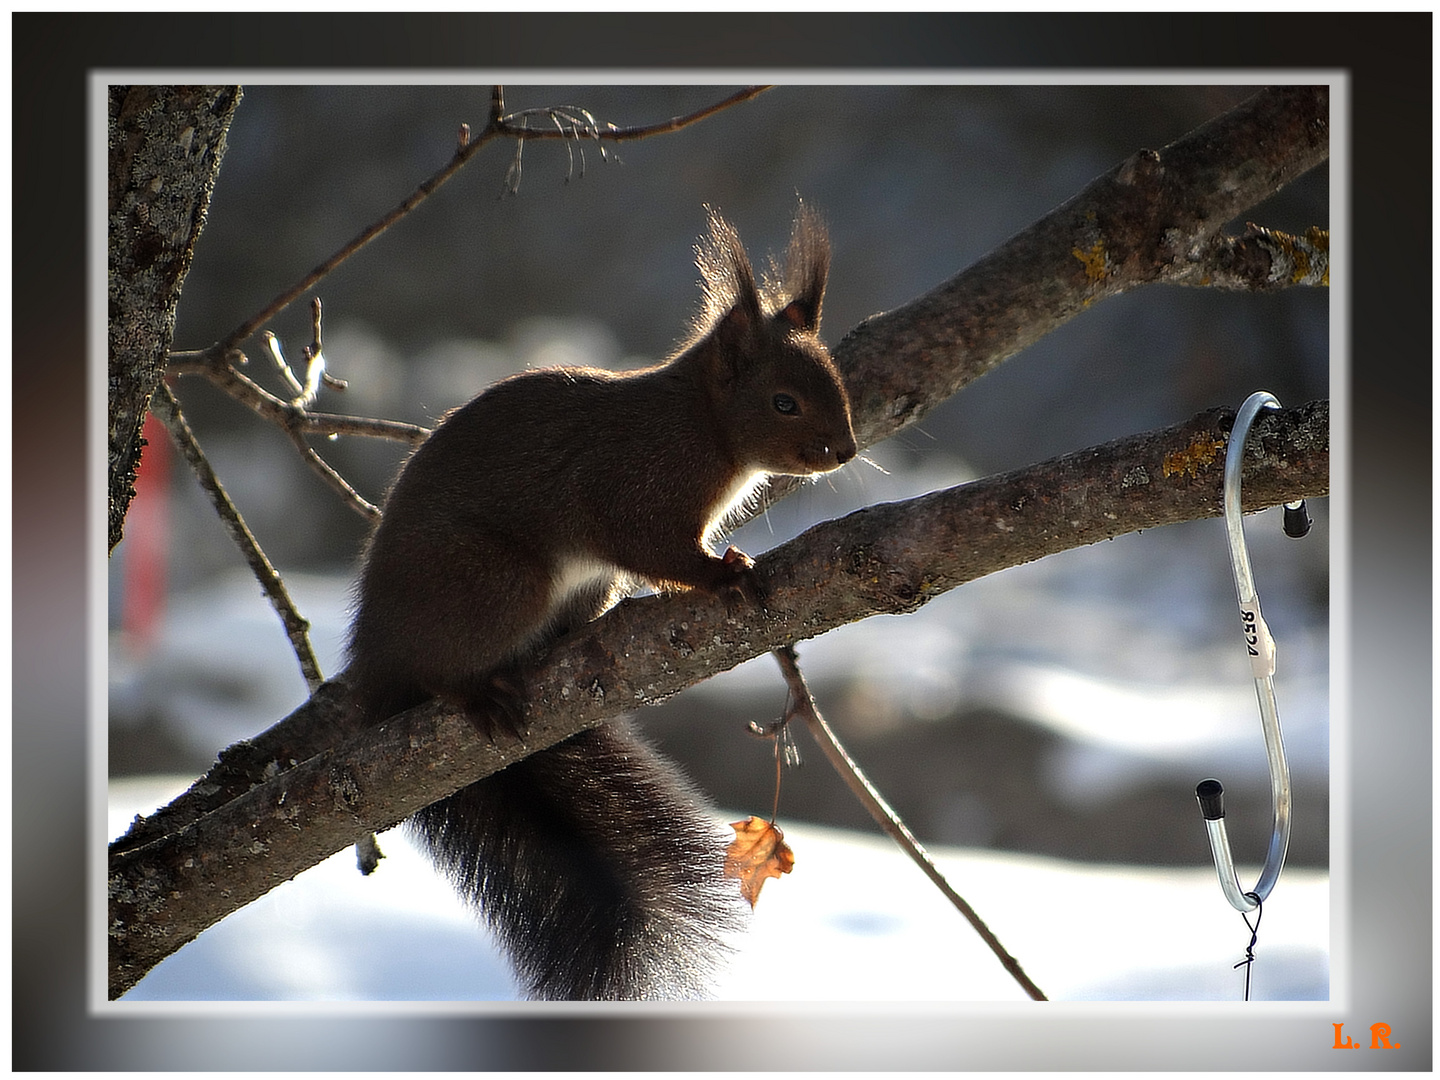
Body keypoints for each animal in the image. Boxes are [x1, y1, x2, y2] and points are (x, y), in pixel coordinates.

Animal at [345, 207, 852, 1002]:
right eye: (784, 401)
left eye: (835, 381)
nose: (846, 450)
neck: (700, 423)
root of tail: (374, 654)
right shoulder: (634, 491)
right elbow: (656, 551)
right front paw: (722, 574)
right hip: (497, 584)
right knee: (436, 668)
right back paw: (470, 691)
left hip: (575, 587)